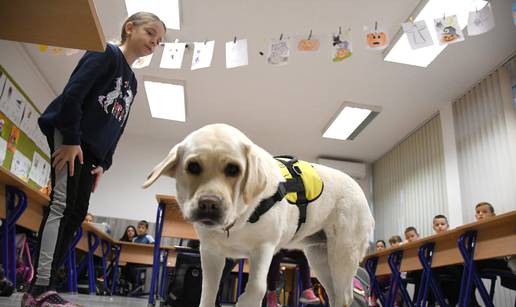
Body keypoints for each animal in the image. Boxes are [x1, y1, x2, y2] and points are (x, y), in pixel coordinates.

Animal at [143, 124, 372, 307]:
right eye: (193, 167)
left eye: (233, 169)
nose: (209, 204)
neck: (238, 222)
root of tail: (361, 191)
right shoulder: (210, 253)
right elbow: (207, 293)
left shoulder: (264, 248)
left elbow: (257, 288)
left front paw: (244, 301)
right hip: (320, 258)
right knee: (335, 295)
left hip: (342, 255)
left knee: (344, 296)